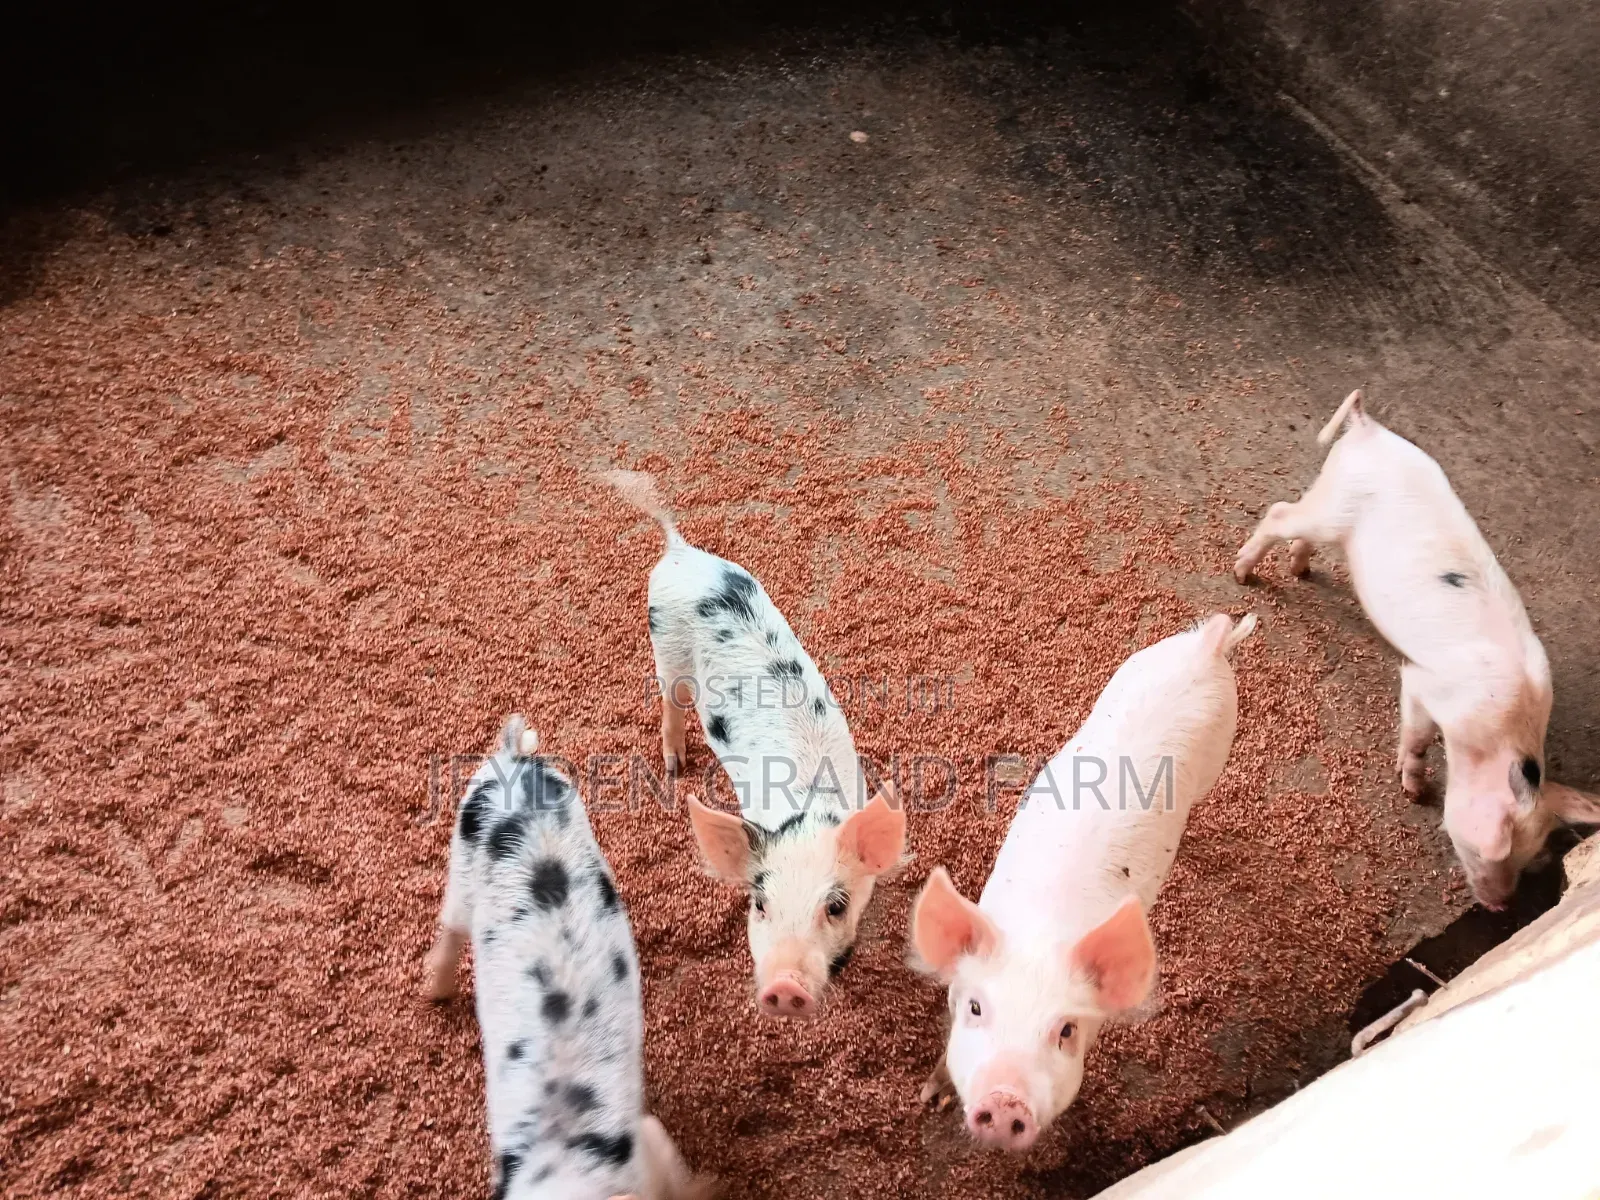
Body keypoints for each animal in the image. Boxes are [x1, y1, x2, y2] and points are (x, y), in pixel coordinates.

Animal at [604, 470, 906, 1021]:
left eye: (835, 906)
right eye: (759, 904)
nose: (785, 985)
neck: (808, 808)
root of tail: (679, 552)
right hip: (666, 652)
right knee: (669, 704)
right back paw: (674, 767)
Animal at [910, 613, 1258, 1151]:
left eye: (1067, 1030)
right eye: (976, 1007)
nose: (1005, 1102)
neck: (1040, 931)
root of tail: (1206, 645)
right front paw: (930, 1096)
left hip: (1222, 741)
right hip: (1130, 669)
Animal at [1233, 390, 1600, 909]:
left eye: (1530, 858)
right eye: (1492, 853)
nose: (1500, 905)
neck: (1496, 736)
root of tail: (1369, 429)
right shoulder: (1425, 686)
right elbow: (1418, 735)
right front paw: (1413, 791)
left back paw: (1300, 571)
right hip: (1332, 508)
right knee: (1281, 512)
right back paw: (1243, 574)